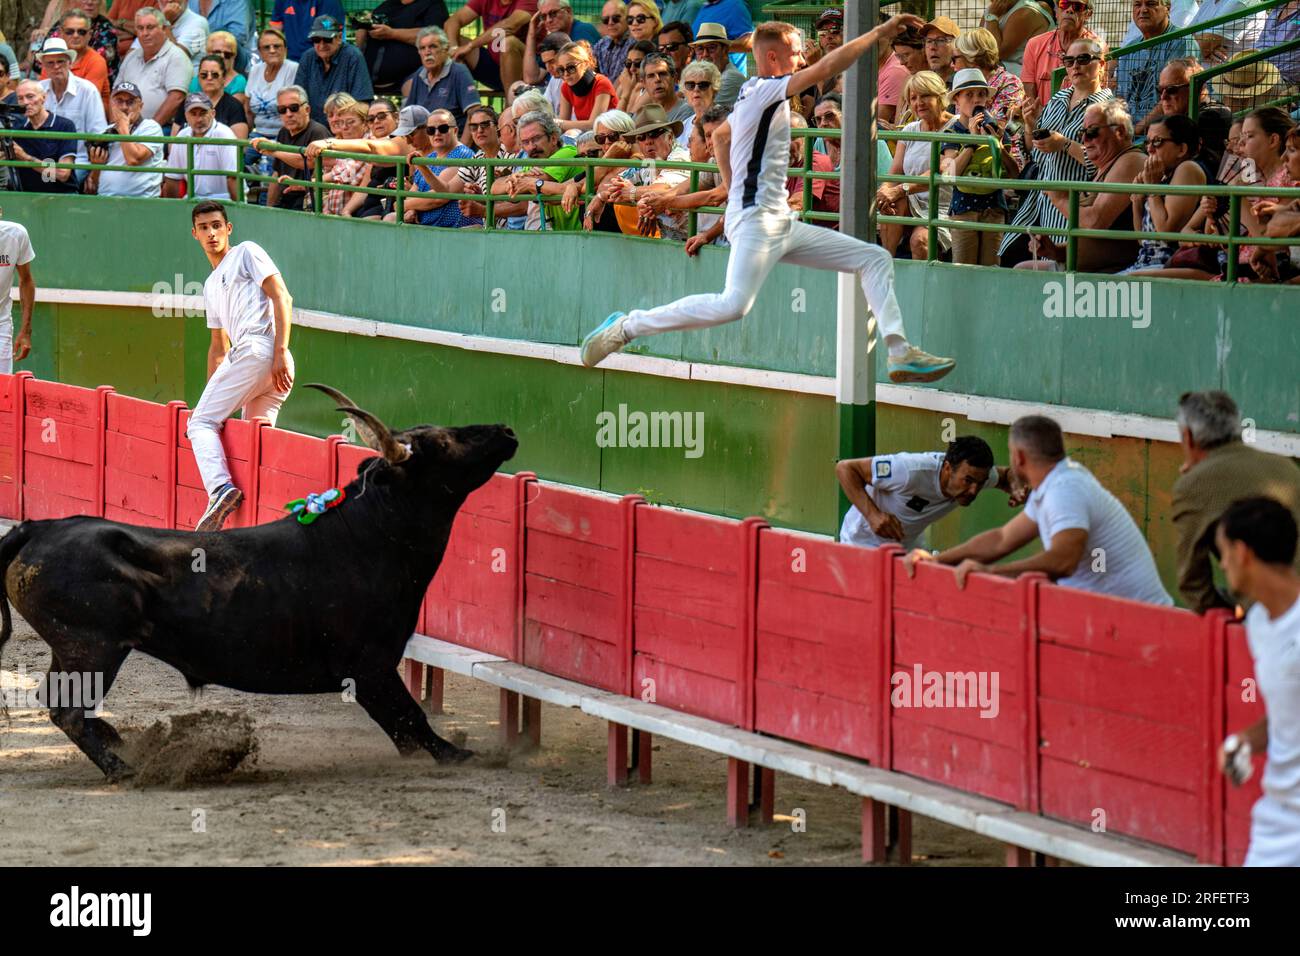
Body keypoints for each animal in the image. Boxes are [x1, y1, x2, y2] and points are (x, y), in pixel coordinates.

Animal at [0, 385, 514, 780]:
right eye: (441, 445)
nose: (507, 431)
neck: (369, 532)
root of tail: (41, 527)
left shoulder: (375, 669)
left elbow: (404, 726)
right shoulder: (368, 666)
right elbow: (411, 715)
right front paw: (460, 754)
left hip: (79, 650)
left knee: (65, 707)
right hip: (91, 647)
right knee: (69, 710)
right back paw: (123, 769)